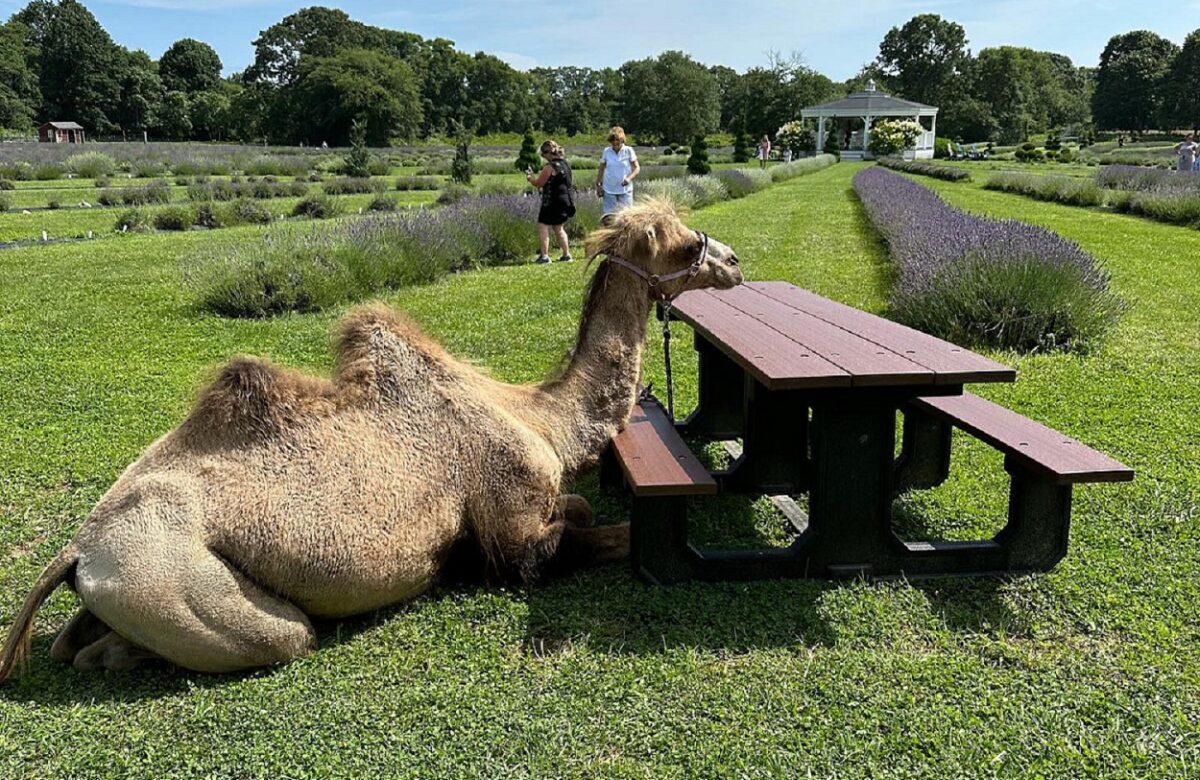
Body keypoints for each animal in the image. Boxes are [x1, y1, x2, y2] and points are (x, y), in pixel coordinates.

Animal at [0, 198, 744, 676]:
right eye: (683, 244)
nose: (734, 261)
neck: (540, 418)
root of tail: (76, 550)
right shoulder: (516, 532)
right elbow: (593, 538)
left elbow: (584, 507)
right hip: (176, 582)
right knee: (276, 636)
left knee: (70, 644)